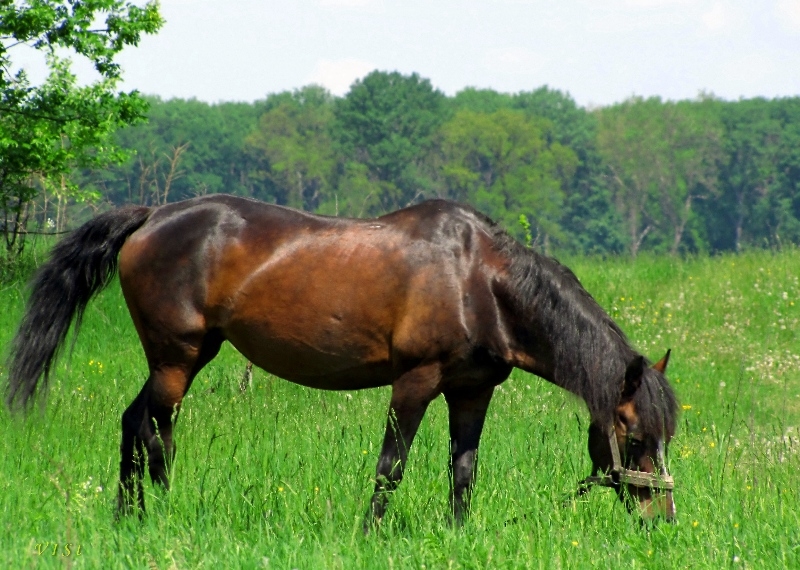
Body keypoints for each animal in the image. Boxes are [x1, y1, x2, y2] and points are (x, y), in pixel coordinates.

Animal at [6, 194, 680, 524]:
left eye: (665, 437)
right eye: (632, 436)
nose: (662, 518)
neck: (479, 281)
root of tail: (152, 216)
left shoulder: (471, 390)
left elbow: (463, 471)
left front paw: (457, 533)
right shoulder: (415, 383)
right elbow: (391, 467)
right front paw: (371, 532)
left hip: (184, 357)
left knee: (136, 424)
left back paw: (135, 515)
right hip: (177, 357)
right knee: (154, 433)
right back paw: (157, 512)